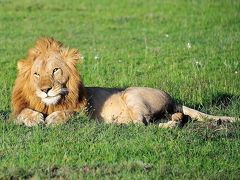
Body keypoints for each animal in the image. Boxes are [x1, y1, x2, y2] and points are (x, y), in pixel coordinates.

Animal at [10, 37, 236, 127]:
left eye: (55, 70)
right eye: (36, 74)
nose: (45, 90)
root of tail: (172, 98)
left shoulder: (83, 111)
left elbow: (68, 113)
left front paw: (52, 119)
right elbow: (23, 113)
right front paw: (34, 119)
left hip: (132, 95)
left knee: (141, 122)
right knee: (177, 118)